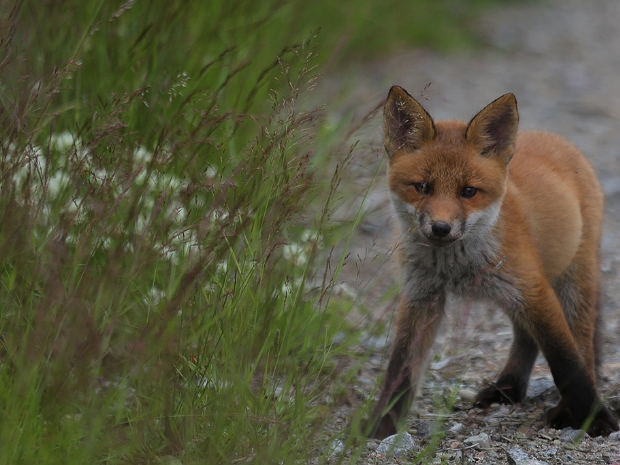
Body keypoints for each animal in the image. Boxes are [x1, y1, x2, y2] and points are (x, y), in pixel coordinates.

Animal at [364, 87, 620, 438]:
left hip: (569, 282)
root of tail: (554, 138)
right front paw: (382, 425)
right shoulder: (420, 296)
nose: (441, 228)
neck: (455, 268)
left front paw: (596, 419)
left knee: (582, 345)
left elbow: (567, 362)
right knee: (525, 337)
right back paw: (508, 388)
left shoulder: (533, 289)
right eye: (423, 187)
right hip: (512, 295)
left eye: (468, 191)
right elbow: (399, 369)